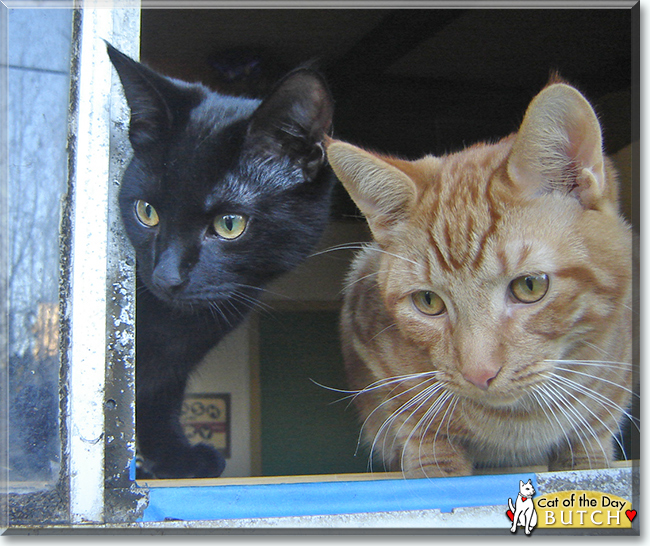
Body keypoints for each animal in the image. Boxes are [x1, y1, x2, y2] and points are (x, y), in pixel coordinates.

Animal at [106, 43, 334, 476]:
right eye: (147, 212)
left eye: (229, 224)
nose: (166, 277)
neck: (175, 328)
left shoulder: (170, 370)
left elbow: (159, 395)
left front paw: (173, 456)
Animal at [326, 79, 632, 476]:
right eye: (428, 301)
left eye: (530, 286)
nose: (478, 374)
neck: (519, 421)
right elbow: (418, 428)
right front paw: (435, 469)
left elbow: (593, 441)